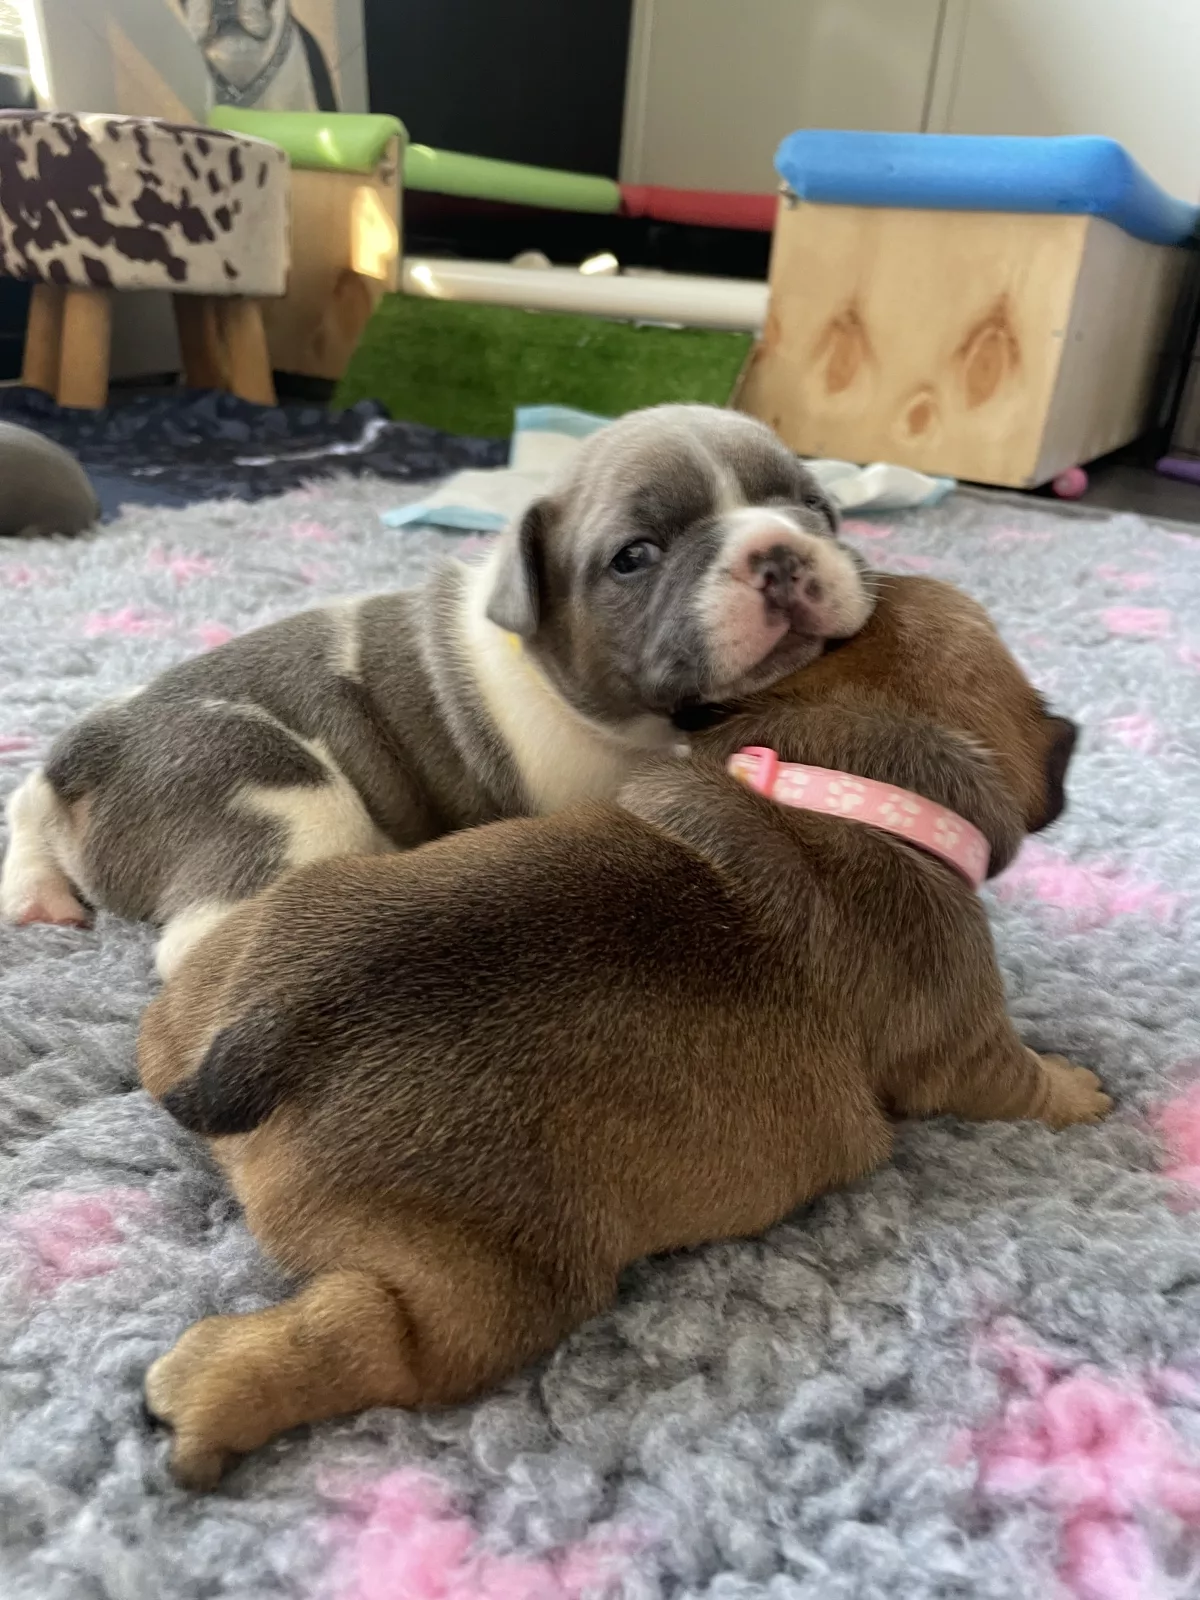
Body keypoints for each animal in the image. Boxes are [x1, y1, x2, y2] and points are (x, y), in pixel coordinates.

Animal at [0, 405, 870, 977]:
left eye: (817, 509)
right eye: (635, 556)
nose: (778, 550)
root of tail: (91, 756)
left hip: (67, 792)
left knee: (21, 805)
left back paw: (38, 897)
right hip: (281, 800)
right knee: (202, 942)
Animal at [137, 573, 1106, 1489]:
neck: (844, 777)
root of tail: (266, 1040)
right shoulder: (967, 1038)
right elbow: (1017, 1076)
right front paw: (1083, 1093)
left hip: (258, 935)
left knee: (162, 1024)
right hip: (485, 1279)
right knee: (375, 1339)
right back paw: (213, 1396)